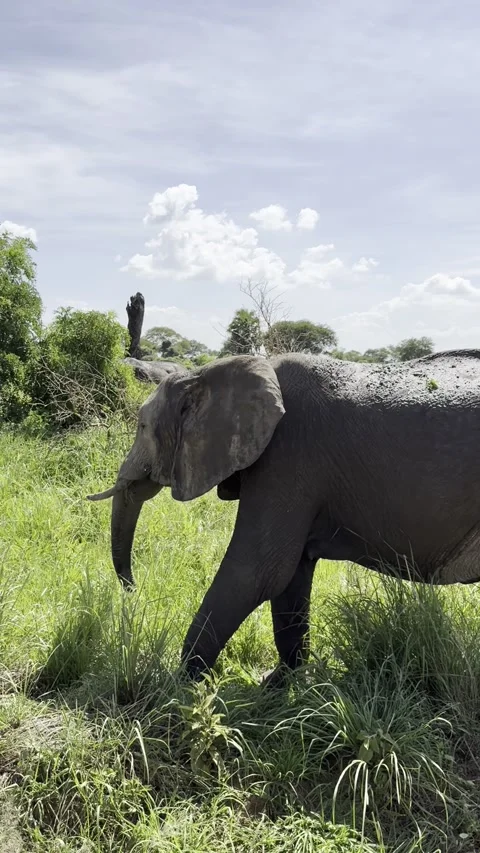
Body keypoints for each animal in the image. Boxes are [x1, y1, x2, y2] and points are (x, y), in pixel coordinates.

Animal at [88, 349, 480, 683]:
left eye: (141, 426)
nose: (132, 591)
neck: (210, 371)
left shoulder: (290, 454)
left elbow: (257, 572)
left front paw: (178, 688)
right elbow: (290, 576)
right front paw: (277, 684)